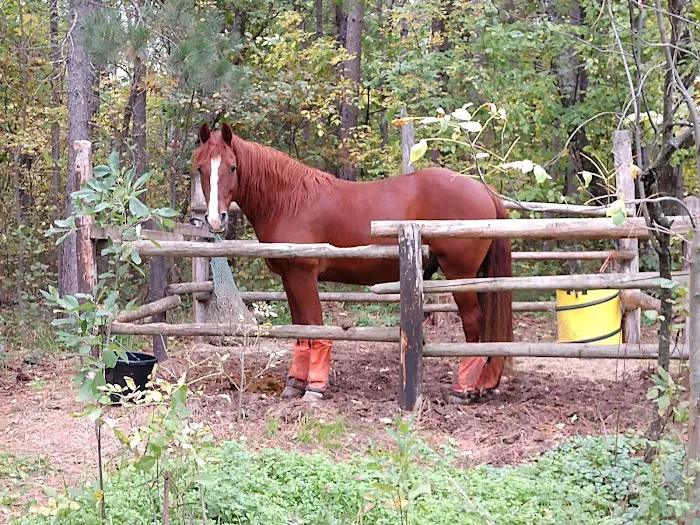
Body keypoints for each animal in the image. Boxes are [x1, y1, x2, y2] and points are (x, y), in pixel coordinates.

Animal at [192, 122, 513, 404]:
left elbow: (315, 328)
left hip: (460, 275)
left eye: (233, 167)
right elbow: (301, 332)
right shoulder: (289, 277)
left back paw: (462, 389)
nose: (215, 220)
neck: (289, 201)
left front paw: (315, 388)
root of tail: (484, 191)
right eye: (201, 168)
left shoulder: (303, 275)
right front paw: (294, 384)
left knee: (474, 323)